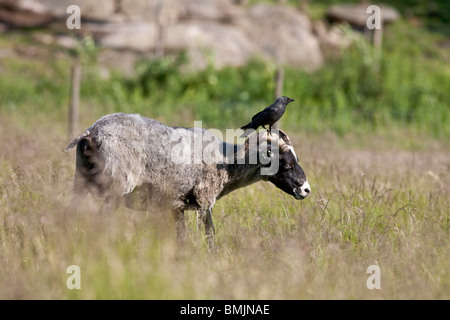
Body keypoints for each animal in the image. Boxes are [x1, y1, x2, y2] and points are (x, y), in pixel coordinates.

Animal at [64, 112, 310, 248]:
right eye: (286, 164)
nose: (306, 189)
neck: (227, 162)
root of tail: (91, 133)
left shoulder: (177, 207)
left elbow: (181, 237)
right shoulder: (205, 199)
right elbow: (210, 234)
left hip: (80, 181)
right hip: (117, 187)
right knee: (99, 221)